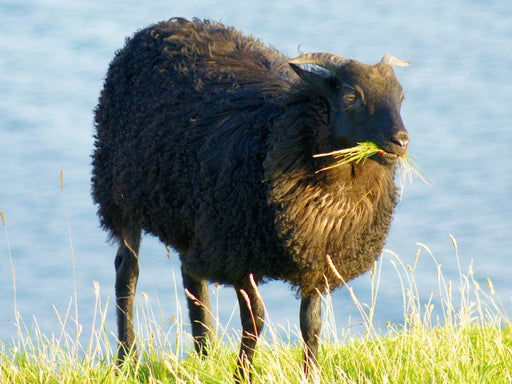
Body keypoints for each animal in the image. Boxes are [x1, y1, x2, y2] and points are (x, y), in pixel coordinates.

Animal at [92, 17, 410, 380]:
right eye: (350, 95)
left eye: (400, 96)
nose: (401, 141)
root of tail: (164, 26)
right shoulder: (240, 254)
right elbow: (255, 319)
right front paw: (242, 374)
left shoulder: (317, 259)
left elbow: (311, 323)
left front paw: (309, 374)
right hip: (121, 195)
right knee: (126, 272)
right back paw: (126, 358)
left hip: (196, 218)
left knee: (191, 275)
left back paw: (205, 353)